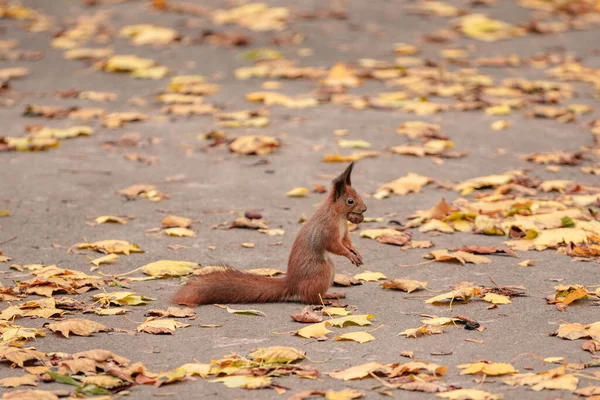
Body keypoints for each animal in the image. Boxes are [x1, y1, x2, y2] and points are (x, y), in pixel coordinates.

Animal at [171, 162, 368, 306]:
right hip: (321, 270)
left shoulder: (344, 232)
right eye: (350, 201)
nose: (365, 209)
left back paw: (332, 294)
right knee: (309, 297)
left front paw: (356, 252)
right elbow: (334, 245)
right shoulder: (327, 229)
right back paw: (325, 300)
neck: (338, 215)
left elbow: (346, 241)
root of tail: (292, 283)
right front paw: (350, 255)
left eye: (358, 195)